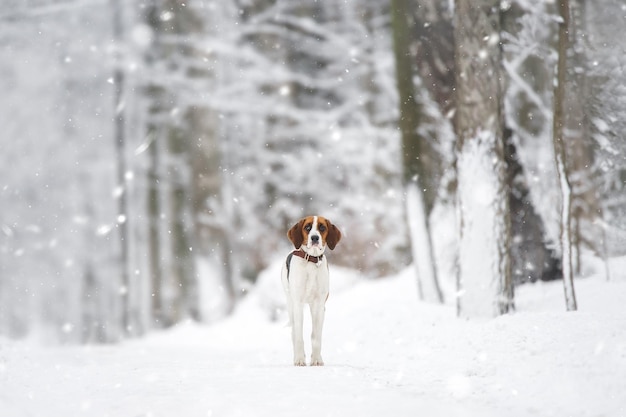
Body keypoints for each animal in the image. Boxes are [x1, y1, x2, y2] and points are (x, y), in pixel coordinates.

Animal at [280, 214, 342, 364]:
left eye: (322, 228)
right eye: (307, 227)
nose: (314, 238)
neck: (311, 261)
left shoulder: (319, 306)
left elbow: (316, 337)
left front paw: (316, 360)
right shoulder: (298, 305)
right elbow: (298, 336)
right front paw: (299, 359)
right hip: (290, 304)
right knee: (294, 332)